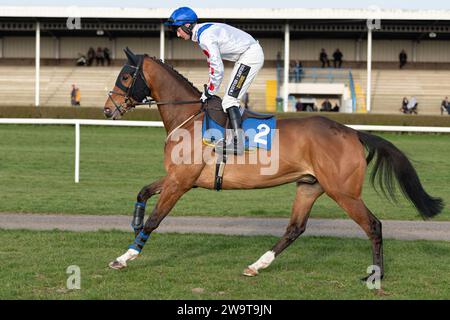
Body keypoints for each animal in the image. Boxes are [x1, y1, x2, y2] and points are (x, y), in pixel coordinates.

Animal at [103, 48, 442, 282]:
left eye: (125, 77)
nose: (107, 109)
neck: (189, 119)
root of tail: (352, 132)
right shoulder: (177, 177)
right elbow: (143, 192)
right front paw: (134, 221)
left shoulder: (181, 182)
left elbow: (155, 220)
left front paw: (125, 256)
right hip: (309, 186)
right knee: (295, 228)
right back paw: (257, 265)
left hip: (344, 192)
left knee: (373, 225)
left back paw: (375, 275)